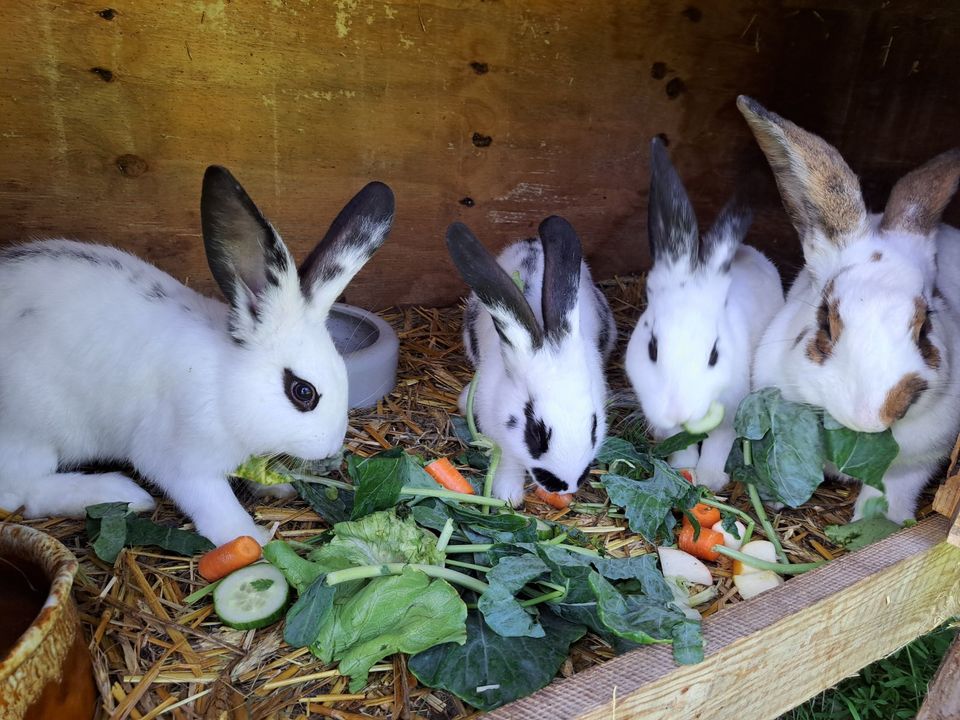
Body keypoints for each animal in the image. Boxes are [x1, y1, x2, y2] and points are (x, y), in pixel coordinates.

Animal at [0, 166, 394, 544]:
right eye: (303, 392)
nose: (329, 451)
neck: (225, 382)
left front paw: (276, 487)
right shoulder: (180, 459)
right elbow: (214, 502)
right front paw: (251, 539)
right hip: (31, 431)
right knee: (23, 492)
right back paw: (120, 494)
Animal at [444, 217, 616, 504]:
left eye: (594, 426)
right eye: (536, 433)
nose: (566, 485)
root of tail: (530, 242)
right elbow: (508, 460)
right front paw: (508, 495)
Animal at [628, 136, 784, 490]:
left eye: (714, 355)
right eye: (652, 348)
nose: (677, 411)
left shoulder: (731, 409)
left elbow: (719, 442)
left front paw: (711, 480)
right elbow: (681, 444)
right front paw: (684, 469)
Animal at [740, 95, 960, 524]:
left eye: (925, 324)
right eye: (826, 322)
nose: (872, 415)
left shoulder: (914, 465)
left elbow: (889, 495)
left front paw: (878, 523)